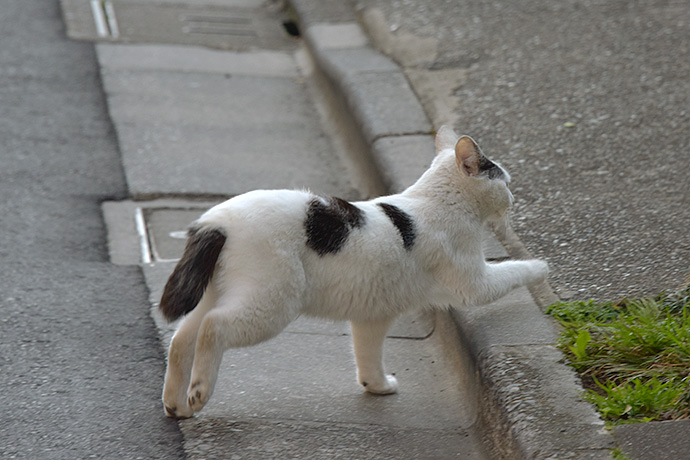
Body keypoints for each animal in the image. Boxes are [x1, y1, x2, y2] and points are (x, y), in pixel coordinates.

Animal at [159, 125, 544, 416]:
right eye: (505, 182)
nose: (514, 199)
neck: (434, 200)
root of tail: (214, 222)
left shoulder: (373, 316)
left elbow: (368, 356)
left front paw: (377, 386)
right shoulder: (474, 283)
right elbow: (513, 270)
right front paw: (541, 266)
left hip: (216, 293)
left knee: (182, 337)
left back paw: (176, 405)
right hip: (272, 303)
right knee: (213, 328)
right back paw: (199, 391)